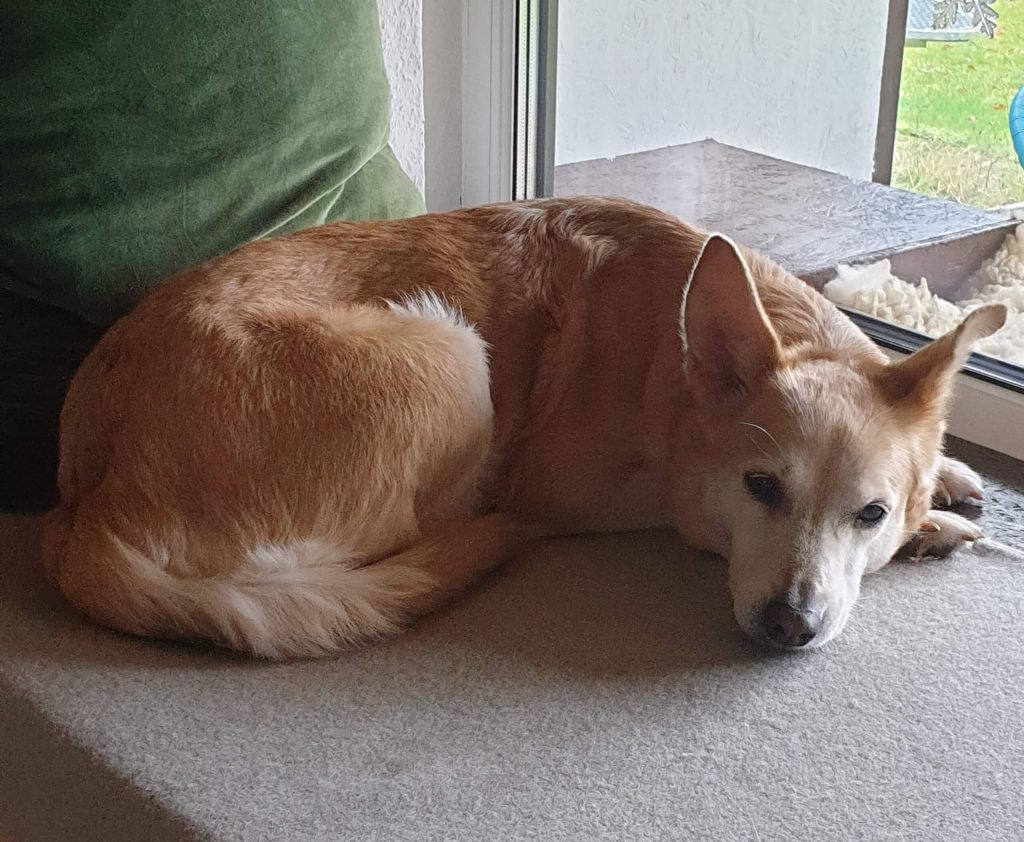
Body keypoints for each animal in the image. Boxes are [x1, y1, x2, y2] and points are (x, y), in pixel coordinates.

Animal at [41, 199, 1007, 659]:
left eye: (867, 514)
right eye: (761, 488)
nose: (788, 627)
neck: (670, 360)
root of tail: (89, 508)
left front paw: (945, 486)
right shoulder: (605, 497)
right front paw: (933, 523)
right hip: (446, 353)